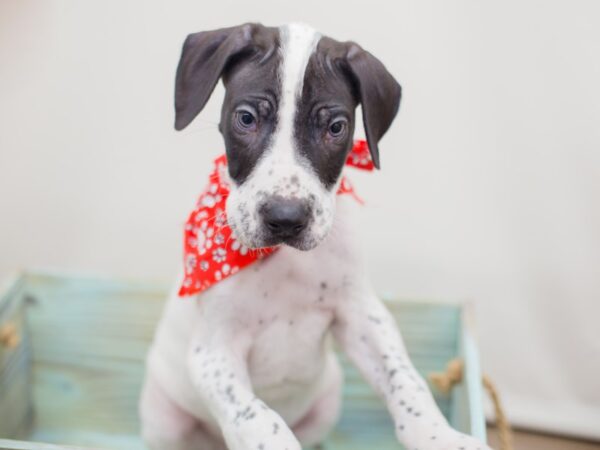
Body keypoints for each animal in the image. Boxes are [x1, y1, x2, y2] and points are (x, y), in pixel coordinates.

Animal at [141, 23, 492, 450]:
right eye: (246, 118)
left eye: (336, 127)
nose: (285, 218)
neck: (286, 261)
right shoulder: (213, 350)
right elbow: (255, 416)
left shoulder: (361, 316)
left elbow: (407, 382)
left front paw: (440, 435)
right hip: (165, 420)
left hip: (326, 404)